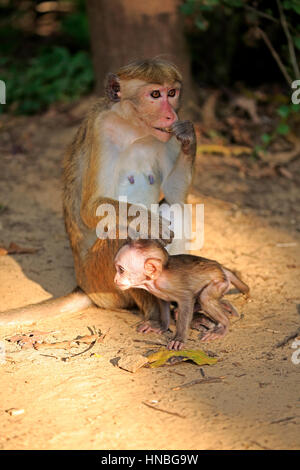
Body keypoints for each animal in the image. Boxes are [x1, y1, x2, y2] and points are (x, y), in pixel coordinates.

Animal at [0, 58, 197, 330]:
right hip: (101, 281)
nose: (171, 114)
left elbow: (175, 194)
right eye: (155, 94)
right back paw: (155, 315)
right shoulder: (101, 129)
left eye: (172, 92)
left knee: (175, 206)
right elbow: (92, 208)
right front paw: (148, 221)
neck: (134, 128)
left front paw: (189, 136)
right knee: (123, 235)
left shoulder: (166, 135)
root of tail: (83, 286)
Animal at [113, 241, 250, 350]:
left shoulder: (171, 287)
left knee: (204, 298)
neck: (155, 280)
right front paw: (161, 326)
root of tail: (220, 267)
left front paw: (178, 339)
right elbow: (163, 302)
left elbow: (187, 299)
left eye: (121, 270)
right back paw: (225, 306)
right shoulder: (160, 291)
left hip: (220, 282)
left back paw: (224, 324)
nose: (115, 279)